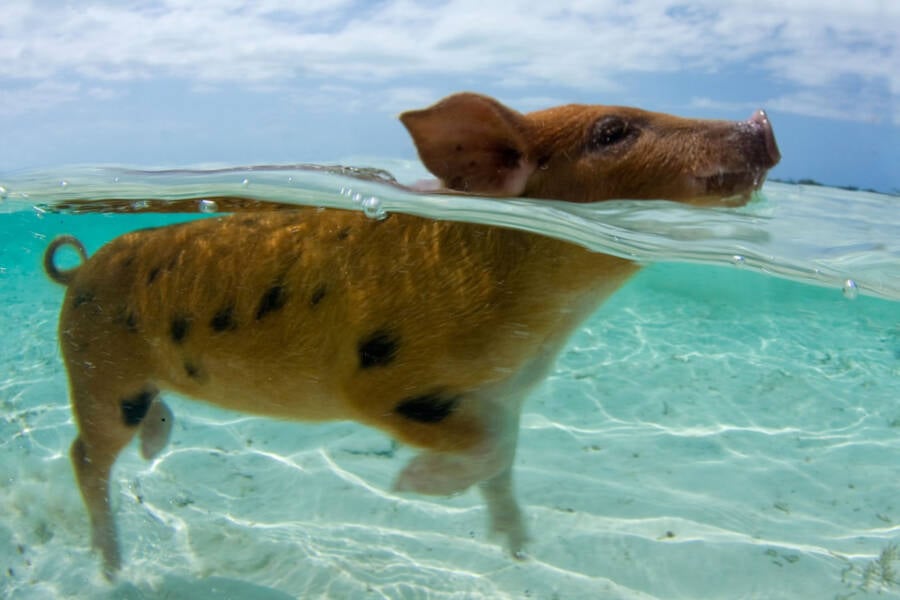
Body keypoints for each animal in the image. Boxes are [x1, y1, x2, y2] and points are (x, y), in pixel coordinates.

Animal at [42, 92, 776, 576]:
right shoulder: (382, 381)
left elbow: (505, 455)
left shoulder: (508, 391)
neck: (546, 318)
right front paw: (411, 486)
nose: (762, 122)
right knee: (84, 455)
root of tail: (76, 270)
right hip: (98, 367)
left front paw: (517, 549)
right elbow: (485, 448)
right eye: (613, 130)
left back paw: (156, 449)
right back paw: (112, 566)